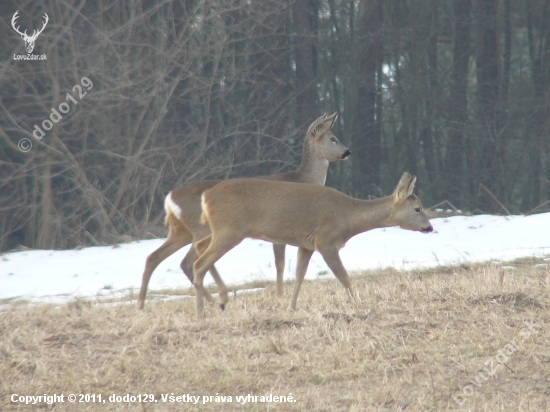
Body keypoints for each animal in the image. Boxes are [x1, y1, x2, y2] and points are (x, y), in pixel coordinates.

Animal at [139, 112, 354, 308]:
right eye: (333, 138)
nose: (347, 151)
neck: (303, 179)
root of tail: (171, 197)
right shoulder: (280, 230)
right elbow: (280, 263)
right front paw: (280, 296)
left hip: (181, 231)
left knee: (155, 257)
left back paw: (143, 303)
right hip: (202, 229)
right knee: (189, 261)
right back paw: (213, 300)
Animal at [194, 171, 436, 318]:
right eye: (417, 208)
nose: (429, 227)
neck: (348, 216)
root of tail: (205, 197)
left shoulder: (307, 245)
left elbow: (299, 275)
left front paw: (291, 308)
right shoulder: (325, 241)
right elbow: (343, 276)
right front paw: (359, 304)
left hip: (222, 230)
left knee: (199, 247)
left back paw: (220, 301)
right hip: (230, 230)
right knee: (199, 263)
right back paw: (202, 312)